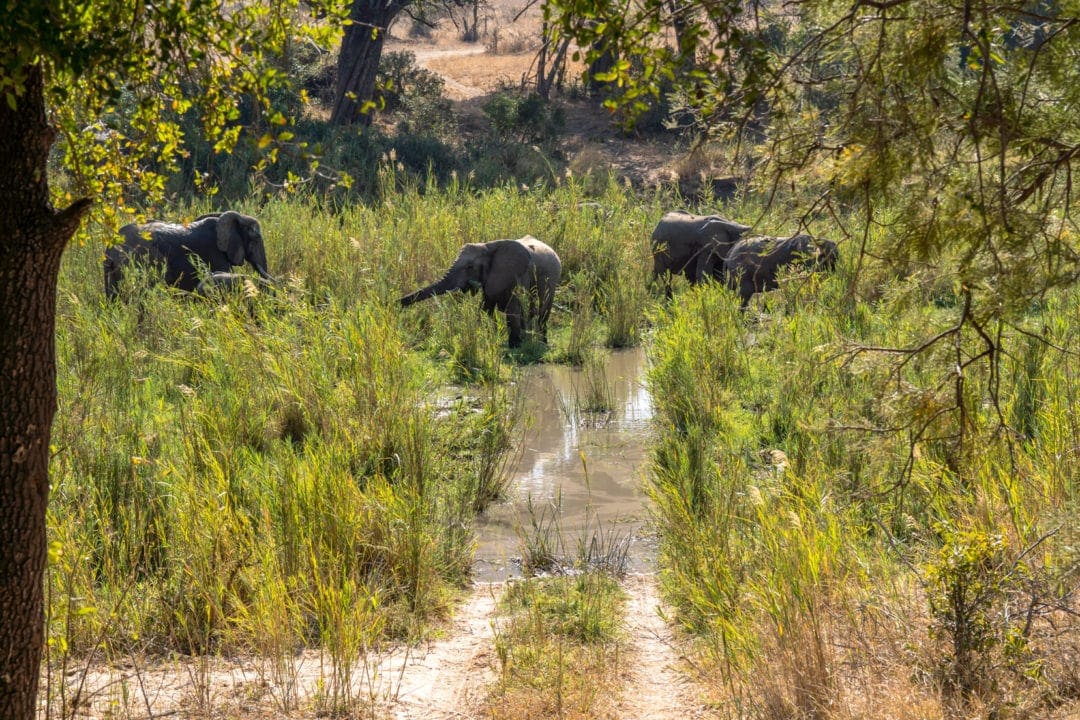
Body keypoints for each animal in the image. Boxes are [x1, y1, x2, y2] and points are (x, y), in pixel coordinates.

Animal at [399, 236, 565, 349]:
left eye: (469, 267)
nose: (395, 304)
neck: (487, 246)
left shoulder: (516, 274)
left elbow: (513, 308)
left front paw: (514, 347)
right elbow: (486, 307)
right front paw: (488, 337)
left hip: (552, 275)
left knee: (544, 307)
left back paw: (541, 342)